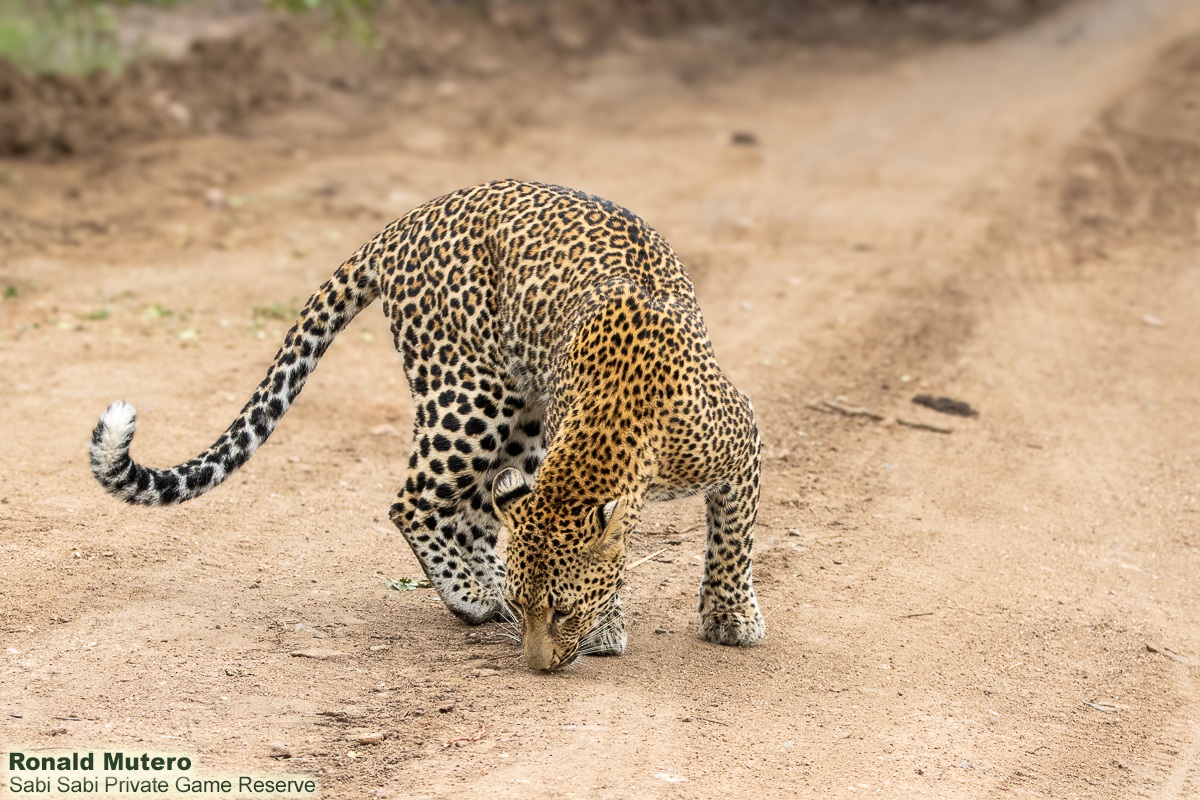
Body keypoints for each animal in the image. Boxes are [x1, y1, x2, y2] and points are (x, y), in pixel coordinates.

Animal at [90, 179, 766, 671]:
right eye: (536, 608)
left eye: (563, 610)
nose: (538, 666)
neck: (621, 421)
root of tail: (409, 220)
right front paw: (618, 624)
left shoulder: (743, 445)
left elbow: (731, 540)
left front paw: (730, 618)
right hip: (470, 392)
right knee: (414, 503)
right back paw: (472, 595)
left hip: (519, 413)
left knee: (475, 510)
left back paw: (482, 583)